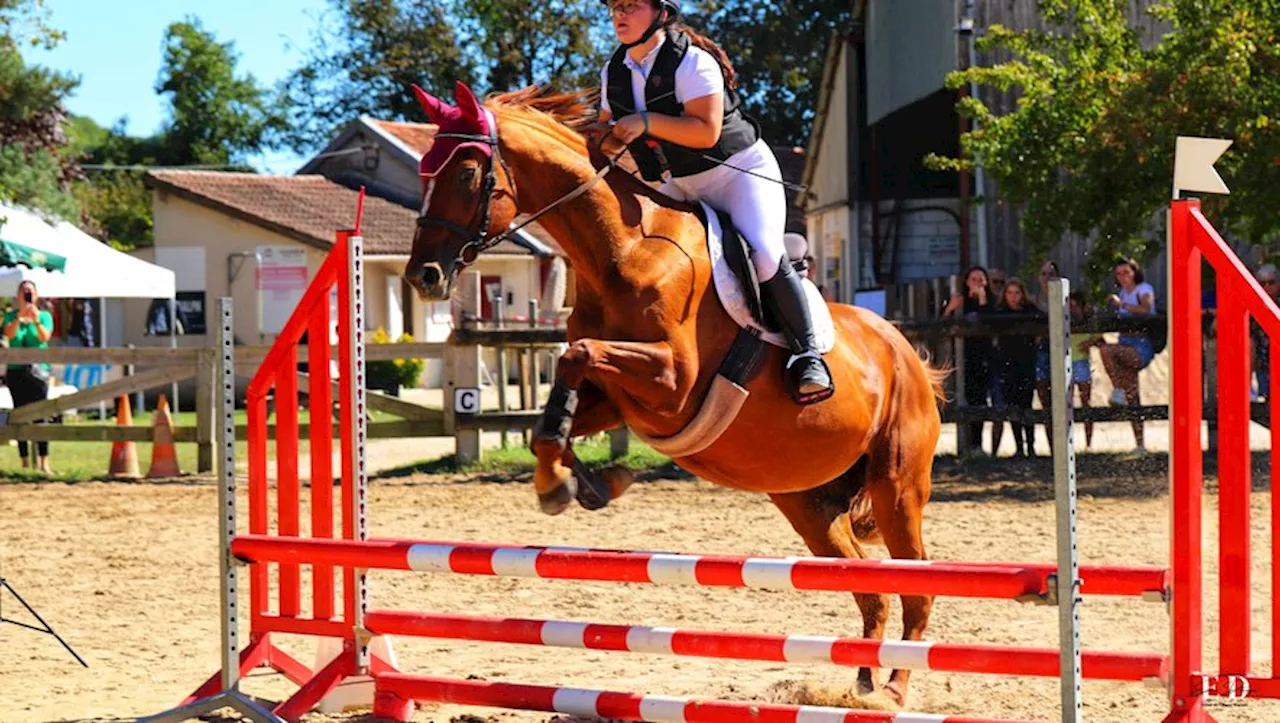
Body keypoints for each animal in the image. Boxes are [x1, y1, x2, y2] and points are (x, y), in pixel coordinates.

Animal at [404, 80, 947, 706]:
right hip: (808, 502)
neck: (622, 248)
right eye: (423, 172)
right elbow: (551, 419)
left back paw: (894, 690)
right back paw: (858, 686)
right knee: (869, 587)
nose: (423, 277)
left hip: (896, 487)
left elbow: (576, 353)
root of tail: (906, 353)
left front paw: (580, 483)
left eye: (467, 174)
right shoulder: (620, 402)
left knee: (916, 587)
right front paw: (576, 485)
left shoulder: (673, 383)